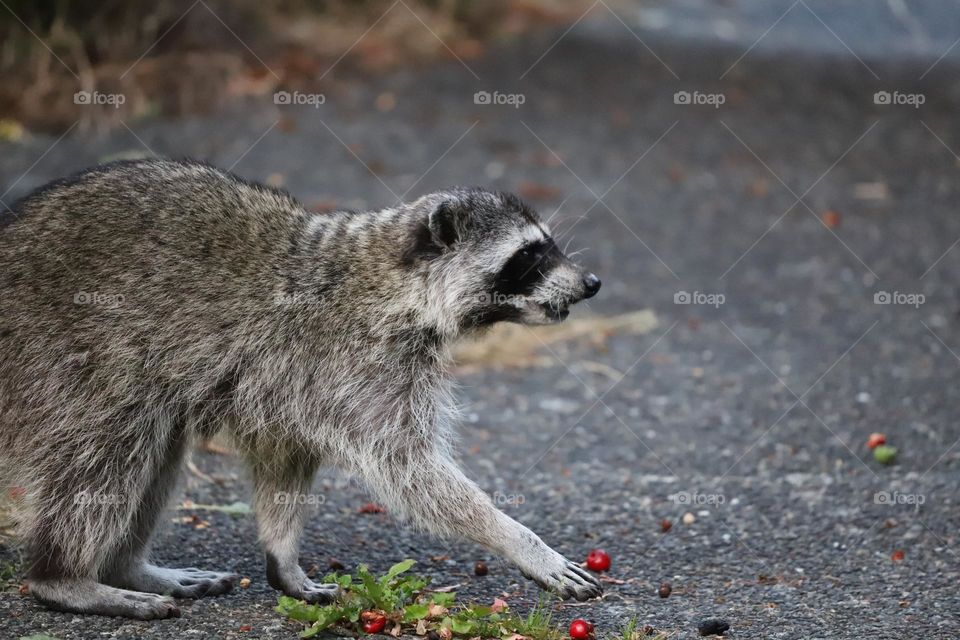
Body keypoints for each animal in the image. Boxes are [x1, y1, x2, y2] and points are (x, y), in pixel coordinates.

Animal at [0, 158, 600, 616]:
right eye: (530, 255)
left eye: (547, 247)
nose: (593, 282)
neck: (391, 284)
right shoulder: (348, 360)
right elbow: (408, 467)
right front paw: (513, 536)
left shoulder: (300, 385)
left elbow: (284, 458)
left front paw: (282, 555)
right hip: (67, 355)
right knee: (104, 453)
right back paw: (65, 576)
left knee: (155, 447)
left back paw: (126, 566)